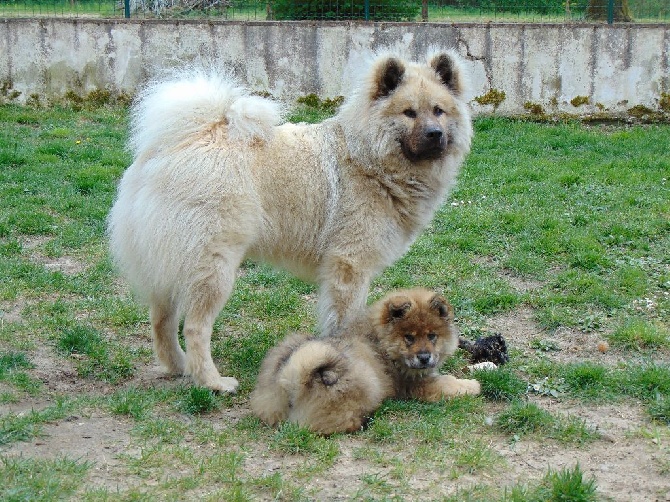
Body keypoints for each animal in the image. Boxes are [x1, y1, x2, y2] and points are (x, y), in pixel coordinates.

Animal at [249, 290, 480, 436]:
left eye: (432, 336)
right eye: (409, 337)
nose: (424, 357)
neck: (382, 343)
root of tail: (293, 382)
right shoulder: (415, 383)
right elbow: (447, 383)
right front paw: (473, 385)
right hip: (364, 383)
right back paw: (363, 422)